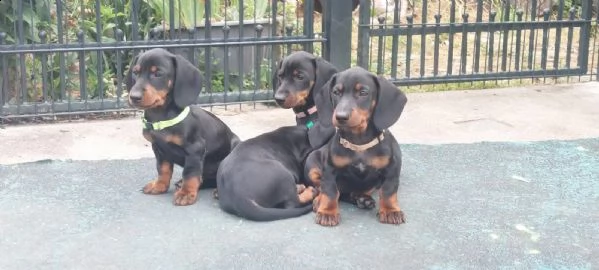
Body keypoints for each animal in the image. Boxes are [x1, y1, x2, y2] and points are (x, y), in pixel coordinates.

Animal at [126, 47, 241, 206]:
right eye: (135, 72)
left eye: (158, 73)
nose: (134, 97)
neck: (161, 117)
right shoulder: (158, 148)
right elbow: (163, 169)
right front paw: (159, 186)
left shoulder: (195, 149)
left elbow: (190, 173)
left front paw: (186, 193)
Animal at [214, 51, 338, 221]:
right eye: (280, 76)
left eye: (300, 76)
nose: (278, 98)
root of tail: (239, 197)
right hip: (283, 175)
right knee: (292, 202)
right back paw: (306, 190)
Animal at [304, 66, 408, 227]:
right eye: (336, 92)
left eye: (363, 92)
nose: (340, 117)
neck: (359, 143)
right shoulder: (329, 170)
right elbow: (330, 191)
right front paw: (328, 212)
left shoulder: (391, 170)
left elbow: (388, 191)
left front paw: (390, 210)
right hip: (311, 165)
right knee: (323, 187)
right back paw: (320, 200)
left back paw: (362, 198)